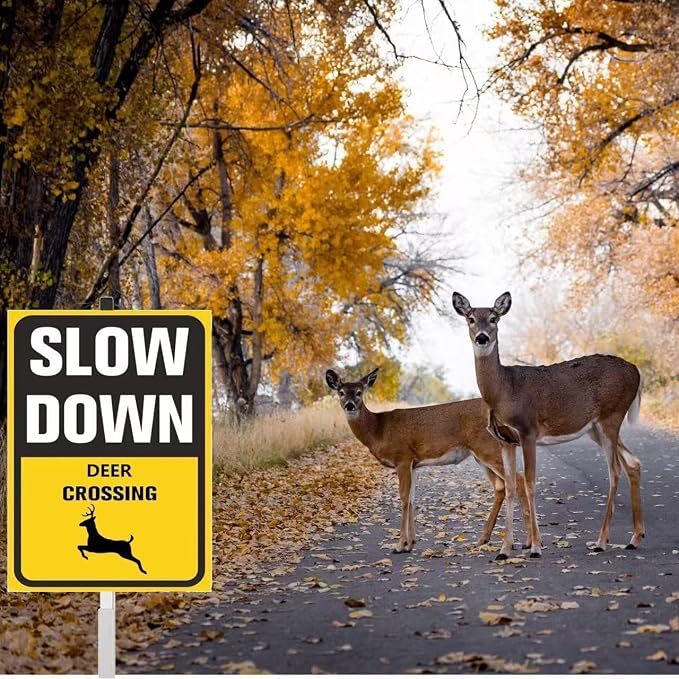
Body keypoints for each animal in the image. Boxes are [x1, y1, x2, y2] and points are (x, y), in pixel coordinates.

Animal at [326, 368, 531, 559]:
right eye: (341, 392)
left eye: (359, 392)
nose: (350, 405)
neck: (378, 430)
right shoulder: (413, 463)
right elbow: (411, 498)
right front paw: (410, 543)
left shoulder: (402, 457)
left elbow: (403, 498)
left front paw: (399, 545)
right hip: (480, 456)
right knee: (500, 486)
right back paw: (484, 539)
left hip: (488, 448)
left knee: (518, 481)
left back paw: (526, 543)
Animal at [452, 291, 644, 558]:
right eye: (470, 319)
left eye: (493, 318)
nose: (482, 337)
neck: (504, 390)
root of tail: (637, 371)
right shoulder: (505, 440)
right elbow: (511, 486)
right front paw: (504, 549)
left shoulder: (528, 431)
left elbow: (530, 482)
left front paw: (534, 547)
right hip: (595, 427)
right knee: (632, 463)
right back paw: (634, 538)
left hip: (611, 417)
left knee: (614, 470)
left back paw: (601, 541)